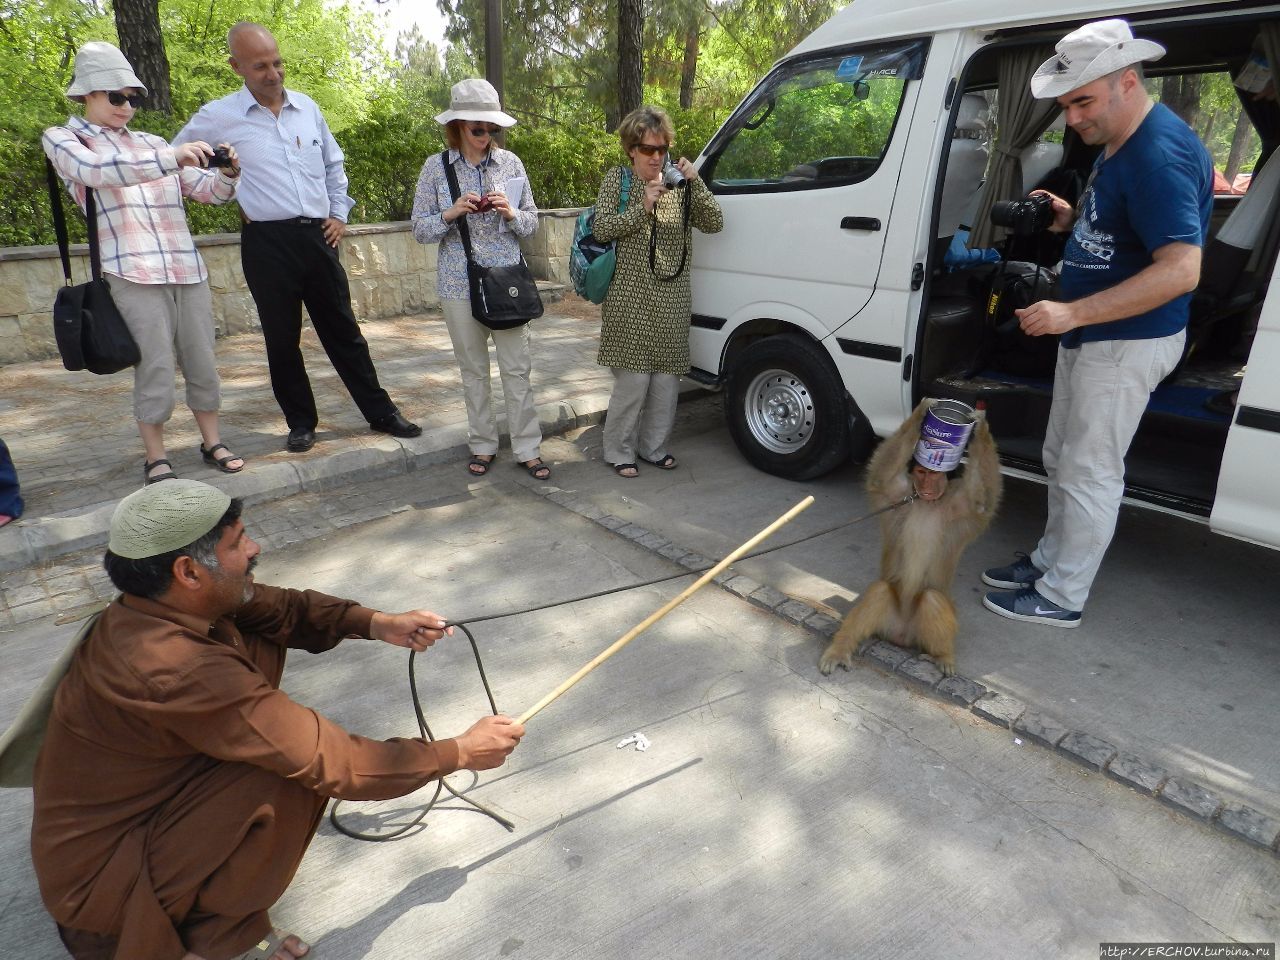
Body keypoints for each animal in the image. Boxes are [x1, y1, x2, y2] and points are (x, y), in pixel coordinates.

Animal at [819, 401, 998, 680]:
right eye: (922, 472)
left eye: (934, 475)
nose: (925, 483)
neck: (927, 502)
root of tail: (900, 636)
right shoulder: (897, 495)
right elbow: (881, 478)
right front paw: (922, 412)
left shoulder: (962, 508)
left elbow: (981, 503)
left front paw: (979, 426)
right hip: (888, 623)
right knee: (880, 592)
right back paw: (841, 646)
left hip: (919, 632)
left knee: (932, 598)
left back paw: (942, 656)